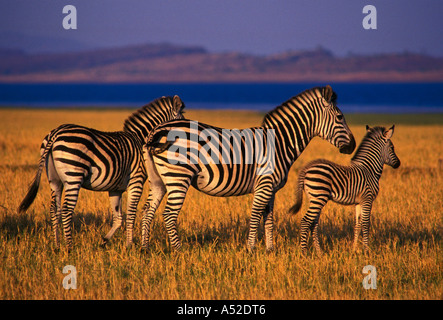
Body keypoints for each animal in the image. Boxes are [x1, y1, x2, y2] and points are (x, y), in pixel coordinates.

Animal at [17, 95, 186, 250]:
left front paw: (104, 241)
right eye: (182, 119)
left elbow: (118, 217)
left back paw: (57, 245)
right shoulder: (136, 180)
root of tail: (56, 133)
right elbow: (131, 214)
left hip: (54, 179)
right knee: (66, 210)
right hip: (73, 176)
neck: (141, 139)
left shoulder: (115, 188)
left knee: (54, 210)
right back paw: (69, 247)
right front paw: (129, 245)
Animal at [140, 85, 356, 252]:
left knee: (148, 210)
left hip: (158, 179)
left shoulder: (271, 189)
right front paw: (250, 249)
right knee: (169, 214)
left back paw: (145, 248)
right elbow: (254, 216)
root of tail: (157, 130)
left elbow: (268, 217)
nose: (353, 146)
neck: (279, 142)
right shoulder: (264, 184)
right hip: (178, 176)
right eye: (339, 117)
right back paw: (179, 250)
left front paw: (270, 250)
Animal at [292, 125, 402, 255]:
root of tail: (306, 168)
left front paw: (354, 249)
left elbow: (357, 224)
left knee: (313, 223)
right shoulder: (367, 199)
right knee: (305, 221)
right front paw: (366, 250)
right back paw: (304, 253)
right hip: (318, 197)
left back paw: (319, 253)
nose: (398, 164)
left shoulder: (359, 202)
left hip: (314, 198)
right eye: (392, 147)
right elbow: (366, 224)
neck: (369, 170)